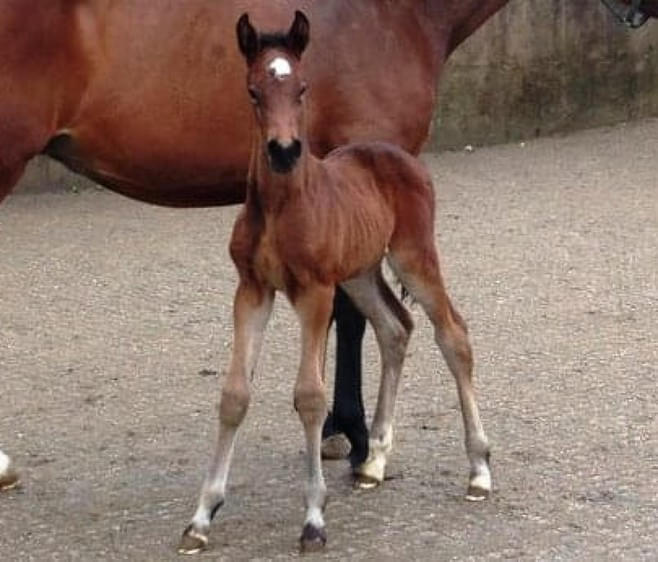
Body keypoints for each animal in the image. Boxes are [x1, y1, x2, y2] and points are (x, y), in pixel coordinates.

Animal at [178, 12, 486, 552]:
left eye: (302, 87)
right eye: (253, 90)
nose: (283, 151)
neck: (282, 205)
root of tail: (398, 154)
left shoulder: (315, 292)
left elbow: (310, 396)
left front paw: (314, 519)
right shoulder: (252, 290)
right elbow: (234, 395)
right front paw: (201, 517)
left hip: (413, 257)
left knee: (453, 332)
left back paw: (479, 471)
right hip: (360, 272)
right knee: (395, 328)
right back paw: (374, 462)